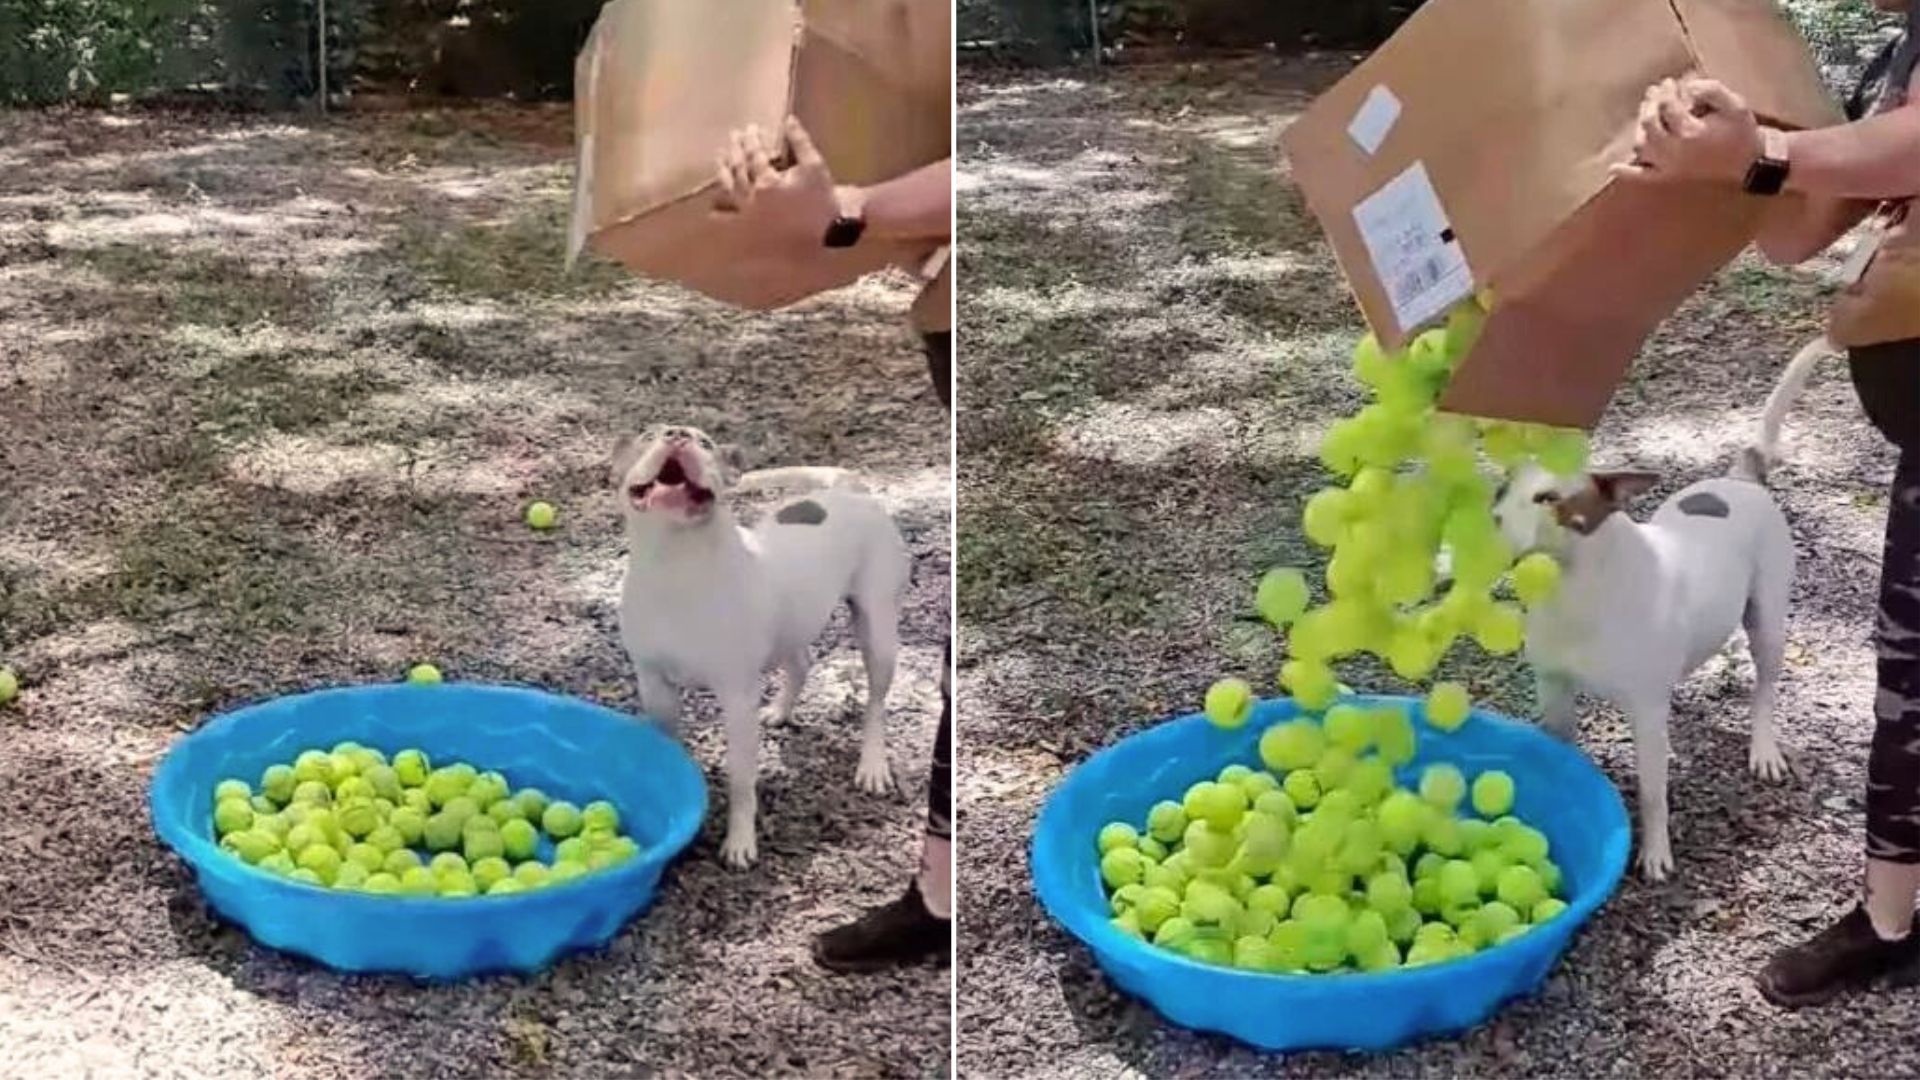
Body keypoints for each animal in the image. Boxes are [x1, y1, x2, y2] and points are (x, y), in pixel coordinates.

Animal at [614, 422, 913, 864]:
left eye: (706, 443)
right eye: (648, 435)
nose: (678, 433)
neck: (675, 562)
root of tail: (850, 490)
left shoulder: (737, 698)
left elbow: (741, 781)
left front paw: (740, 841)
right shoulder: (655, 685)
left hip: (877, 628)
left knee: (875, 702)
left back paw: (872, 765)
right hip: (793, 622)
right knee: (802, 661)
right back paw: (780, 711)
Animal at [1482, 338, 1827, 883]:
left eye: (1548, 498)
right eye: (1504, 488)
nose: (1490, 519)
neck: (1575, 591)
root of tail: (1742, 478)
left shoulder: (1643, 708)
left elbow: (1651, 794)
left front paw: (1656, 854)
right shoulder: (1555, 689)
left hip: (1768, 620)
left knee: (1765, 689)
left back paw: (1764, 749)